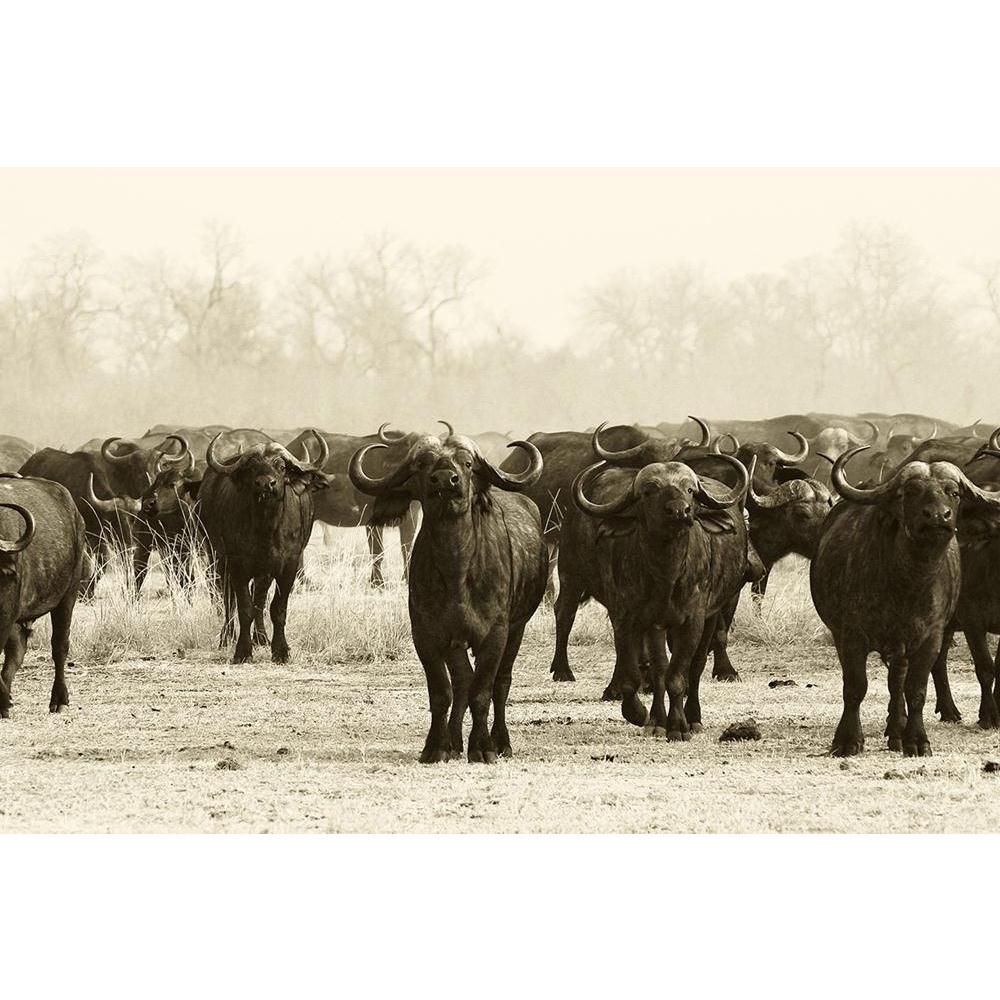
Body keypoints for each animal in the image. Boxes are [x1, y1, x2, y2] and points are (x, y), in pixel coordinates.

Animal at [349, 422, 547, 764]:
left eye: (467, 463)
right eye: (421, 464)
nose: (445, 479)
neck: (457, 570)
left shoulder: (495, 635)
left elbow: (483, 691)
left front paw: (483, 747)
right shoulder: (428, 635)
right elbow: (442, 691)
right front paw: (436, 746)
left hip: (518, 628)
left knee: (501, 682)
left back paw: (501, 742)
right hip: (456, 642)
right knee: (462, 681)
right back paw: (455, 741)